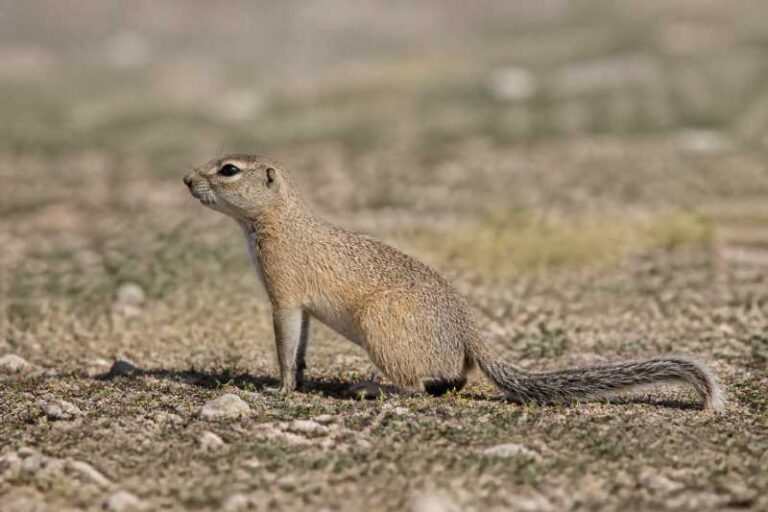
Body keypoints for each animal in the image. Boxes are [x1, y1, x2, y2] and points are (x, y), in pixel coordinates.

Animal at [183, 154, 725, 411]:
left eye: (228, 169)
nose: (187, 179)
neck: (281, 221)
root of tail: (469, 336)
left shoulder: (284, 295)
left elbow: (283, 345)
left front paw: (281, 389)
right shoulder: (303, 308)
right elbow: (299, 348)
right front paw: (298, 378)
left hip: (381, 323)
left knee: (418, 385)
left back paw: (371, 388)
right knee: (450, 380)